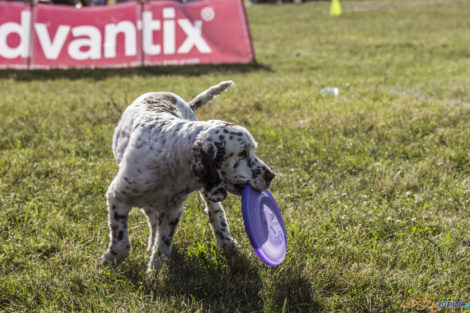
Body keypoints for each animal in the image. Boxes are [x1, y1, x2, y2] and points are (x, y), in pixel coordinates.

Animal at [99, 81, 276, 272]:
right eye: (242, 153)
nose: (271, 176)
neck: (171, 158)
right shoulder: (118, 196)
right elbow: (121, 245)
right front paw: (106, 262)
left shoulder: (173, 209)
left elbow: (163, 245)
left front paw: (155, 272)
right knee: (151, 218)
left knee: (215, 211)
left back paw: (226, 242)